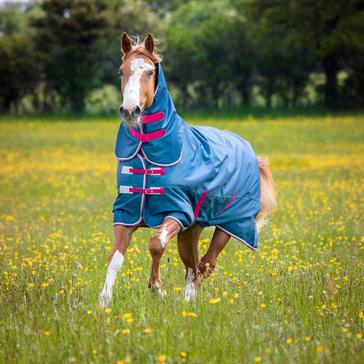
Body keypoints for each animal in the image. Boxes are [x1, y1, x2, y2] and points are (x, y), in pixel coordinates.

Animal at [98, 33, 274, 308]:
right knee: (193, 264)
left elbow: (155, 244)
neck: (149, 153)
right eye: (121, 71)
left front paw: (157, 288)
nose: (129, 111)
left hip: (229, 225)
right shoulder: (127, 214)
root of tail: (249, 150)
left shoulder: (175, 212)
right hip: (192, 229)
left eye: (150, 71)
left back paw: (188, 297)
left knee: (206, 263)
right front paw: (104, 300)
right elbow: (115, 257)